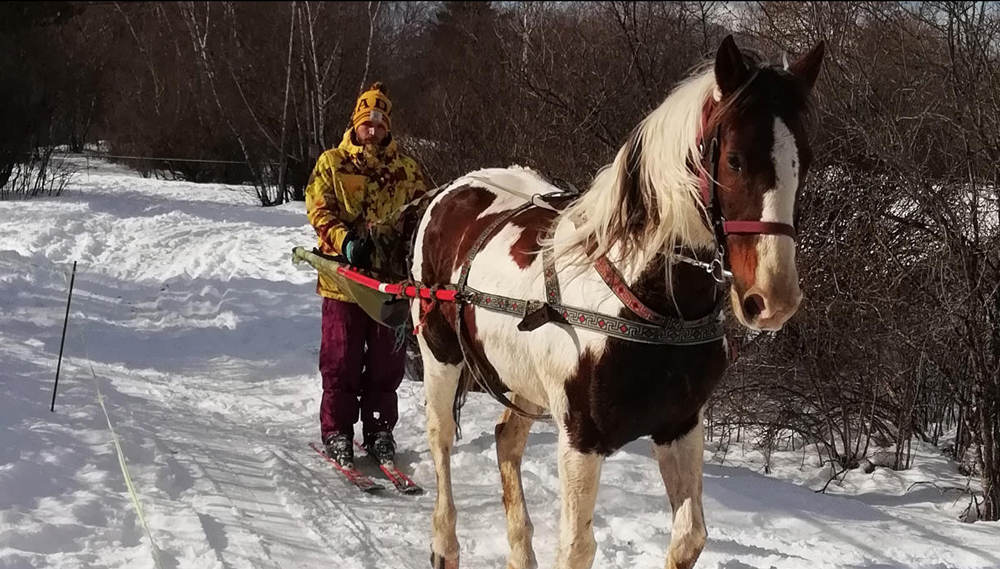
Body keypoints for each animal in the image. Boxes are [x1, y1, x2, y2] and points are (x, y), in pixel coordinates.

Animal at [410, 35, 824, 568]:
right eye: (734, 159)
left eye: (804, 161)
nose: (774, 298)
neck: (645, 305)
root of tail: (453, 190)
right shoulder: (580, 439)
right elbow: (577, 546)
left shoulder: (680, 426)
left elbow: (690, 536)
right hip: (440, 355)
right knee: (441, 442)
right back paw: (445, 546)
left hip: (521, 379)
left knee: (507, 442)